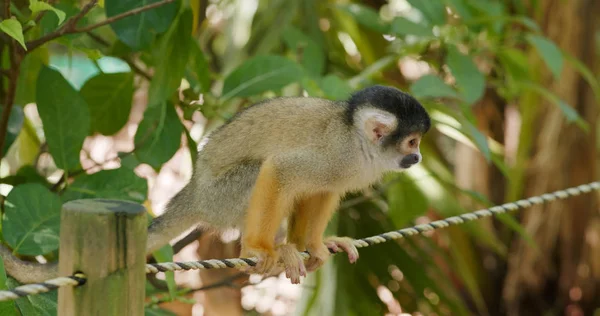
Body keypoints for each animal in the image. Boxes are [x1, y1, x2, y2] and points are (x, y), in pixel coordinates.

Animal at [0, 84, 432, 284]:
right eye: (412, 142)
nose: (419, 158)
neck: (358, 143)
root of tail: (194, 190)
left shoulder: (342, 168)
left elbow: (322, 191)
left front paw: (313, 244)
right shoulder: (335, 155)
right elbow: (280, 171)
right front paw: (258, 248)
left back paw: (293, 245)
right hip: (221, 197)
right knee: (259, 173)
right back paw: (273, 247)